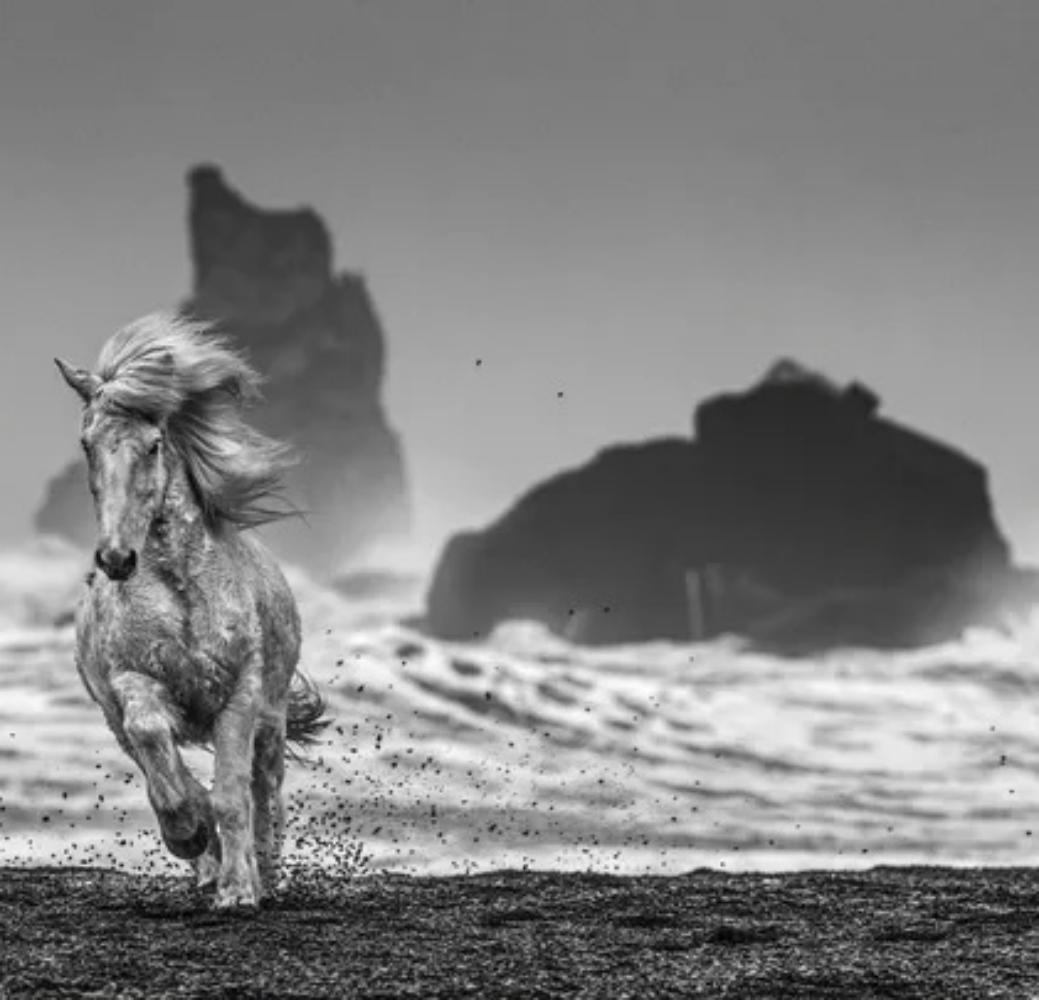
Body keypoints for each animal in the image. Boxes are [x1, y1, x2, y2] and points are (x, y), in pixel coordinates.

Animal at [55, 312, 327, 909]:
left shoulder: (240, 694)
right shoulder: (133, 685)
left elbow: (232, 795)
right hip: (116, 720)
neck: (181, 588)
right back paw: (207, 863)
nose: (116, 558)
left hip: (271, 719)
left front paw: (240, 889)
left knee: (265, 789)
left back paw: (264, 872)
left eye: (155, 444)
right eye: (87, 443)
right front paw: (192, 834)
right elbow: (164, 761)